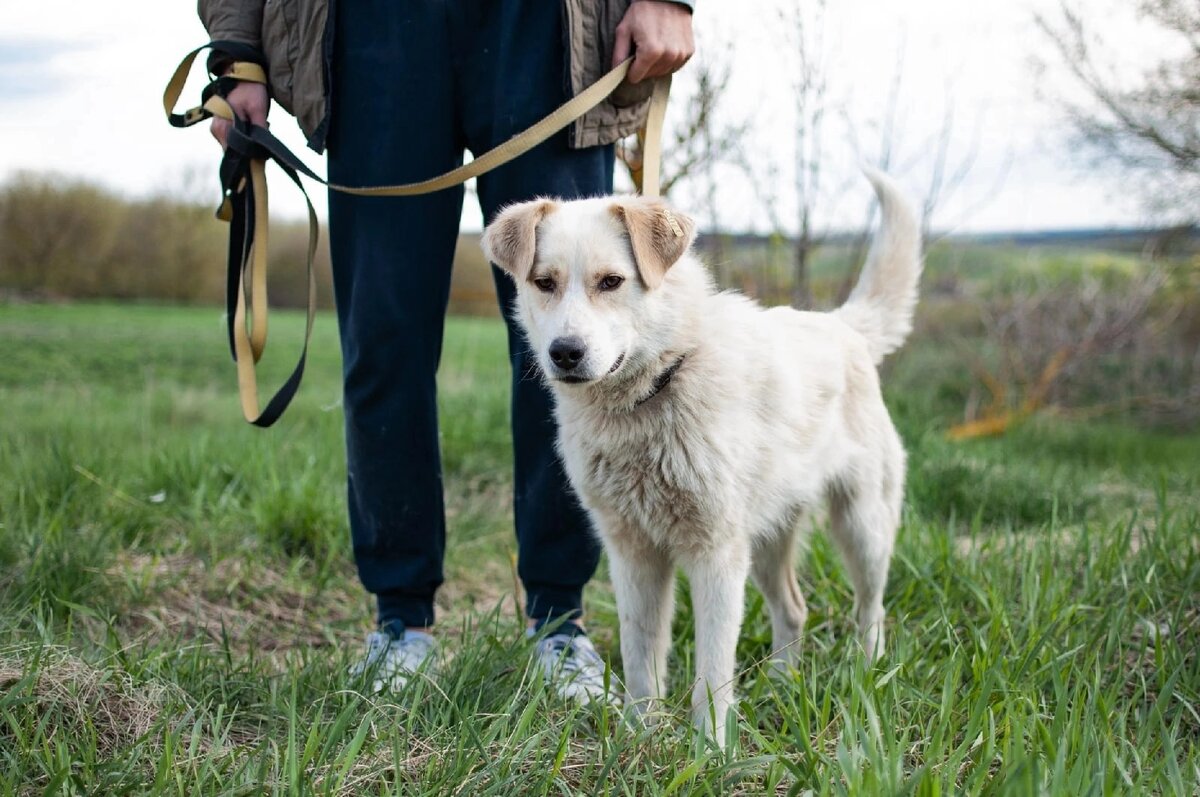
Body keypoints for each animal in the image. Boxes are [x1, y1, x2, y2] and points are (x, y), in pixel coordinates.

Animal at [482, 171, 921, 744]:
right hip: (767, 544)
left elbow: (711, 671)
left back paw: (867, 672)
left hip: (861, 527)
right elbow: (642, 654)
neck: (656, 388)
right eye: (544, 282)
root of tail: (844, 328)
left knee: (872, 609)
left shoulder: (715, 555)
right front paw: (639, 735)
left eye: (611, 282)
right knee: (794, 609)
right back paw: (780, 683)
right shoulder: (633, 554)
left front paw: (709, 748)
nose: (565, 353)